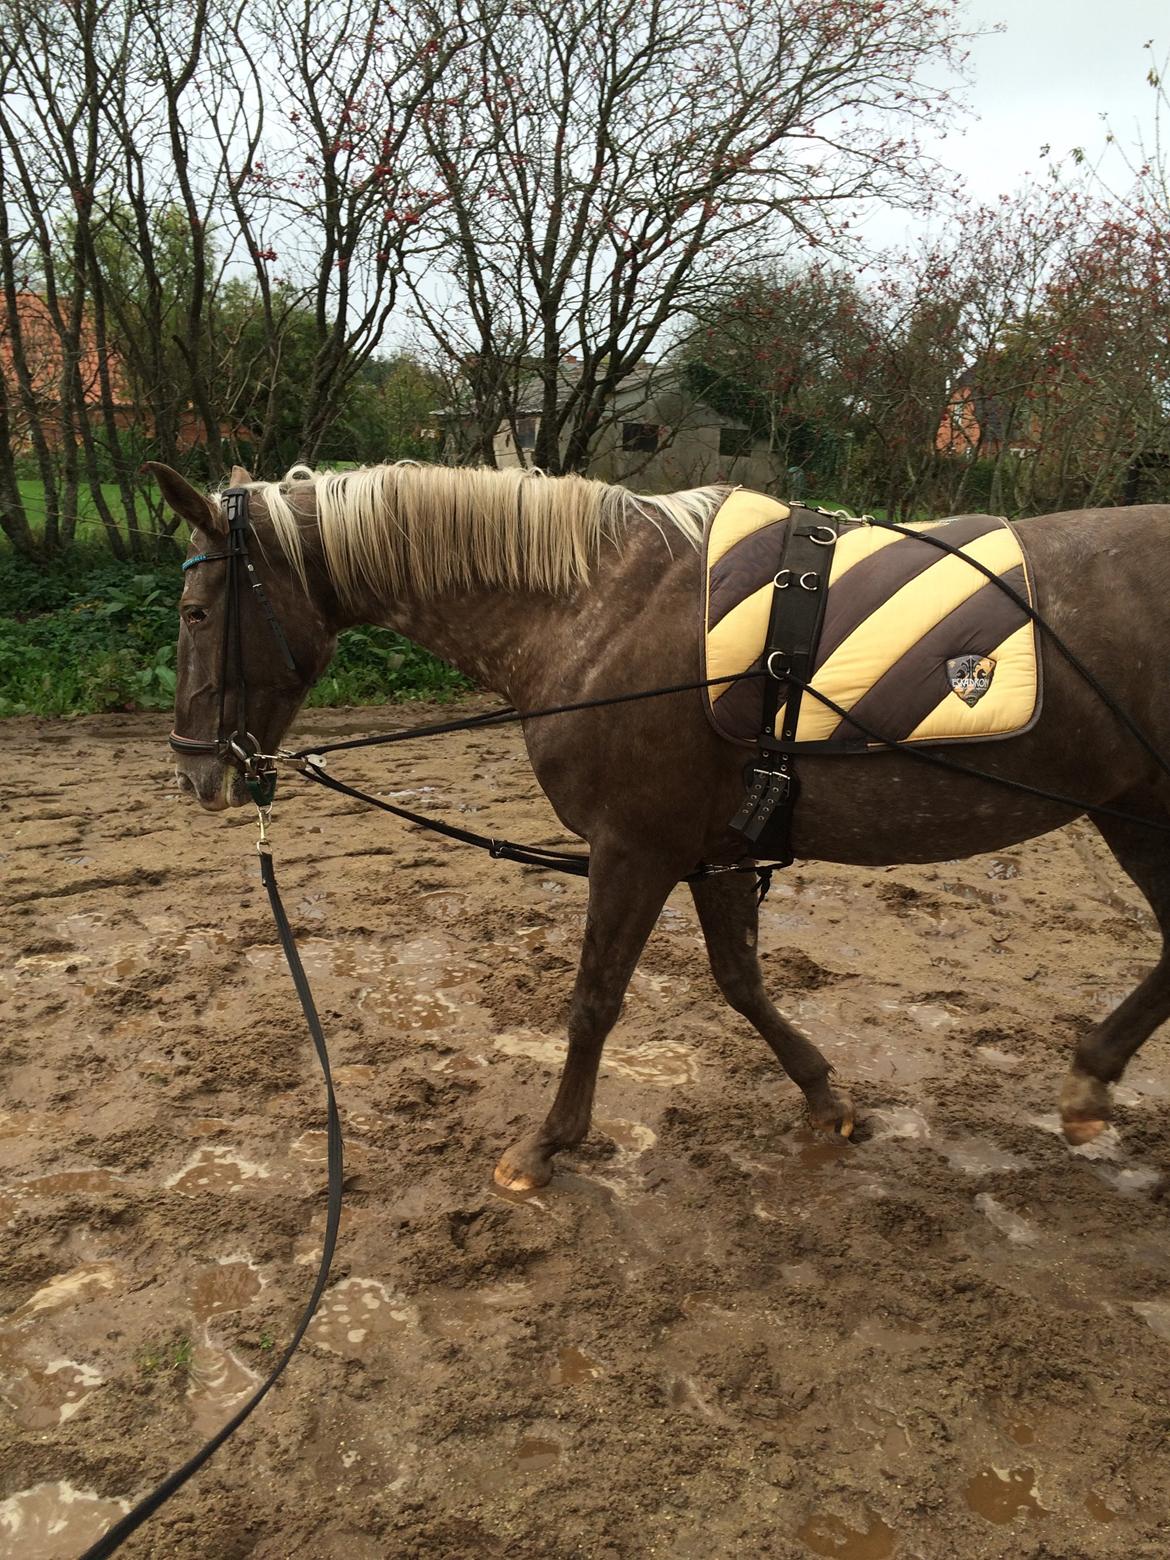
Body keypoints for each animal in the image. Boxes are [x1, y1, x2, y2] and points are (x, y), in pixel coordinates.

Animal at [148, 455, 1170, 1185]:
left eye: (196, 610)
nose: (196, 769)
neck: (598, 608)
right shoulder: (715, 851)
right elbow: (741, 982)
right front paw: (824, 1096)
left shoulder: (635, 849)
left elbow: (595, 999)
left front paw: (549, 1144)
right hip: (1130, 810)